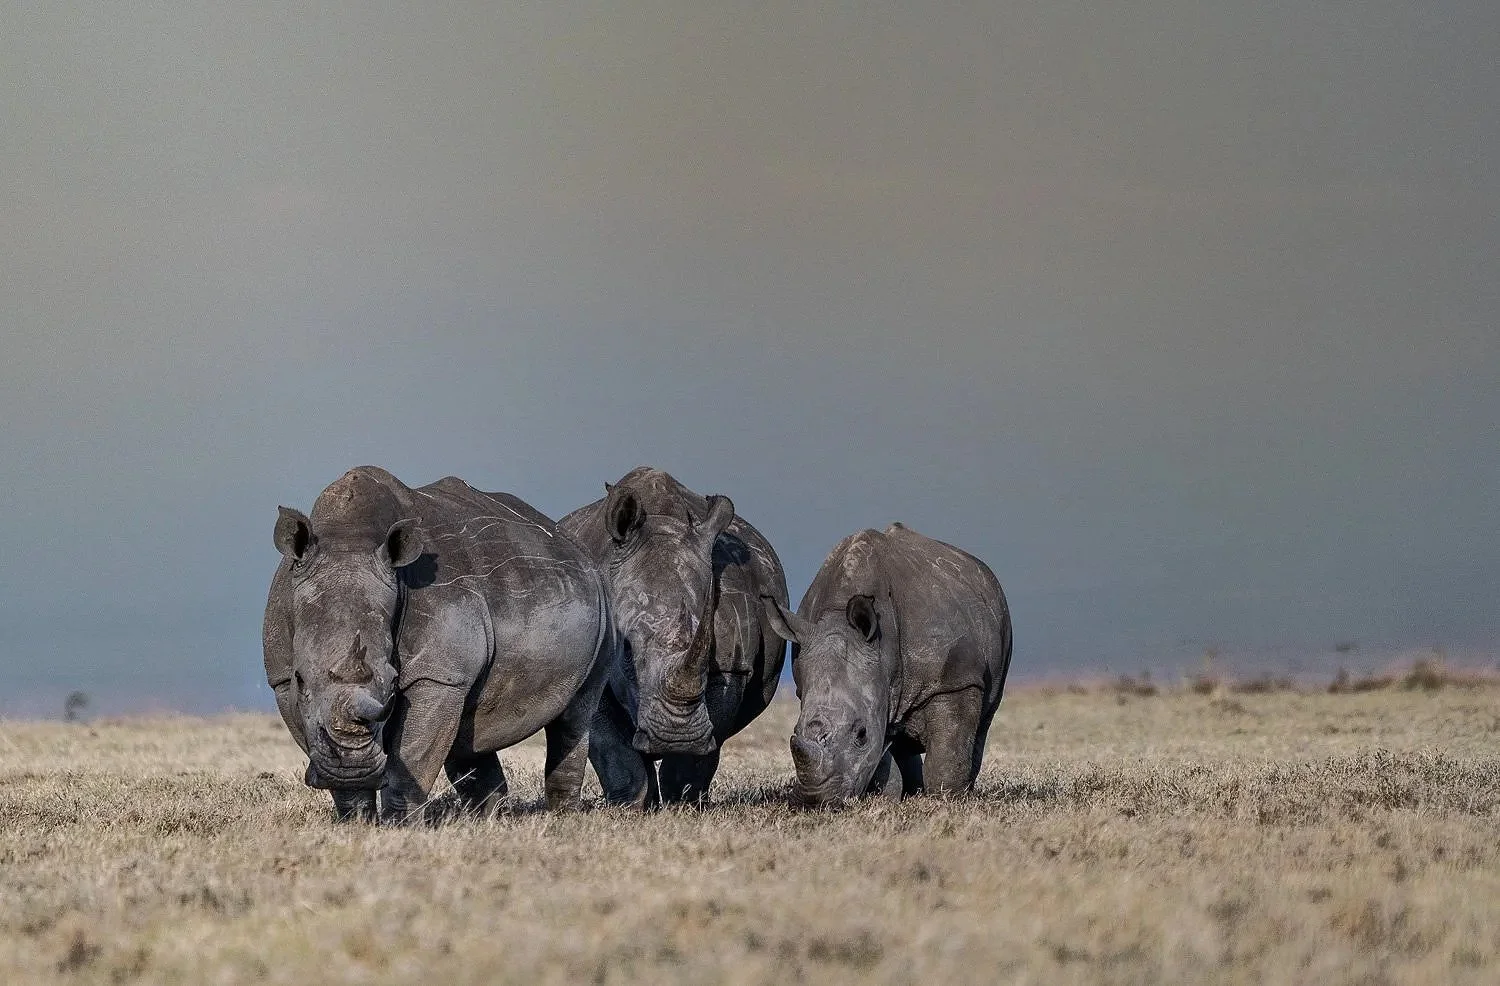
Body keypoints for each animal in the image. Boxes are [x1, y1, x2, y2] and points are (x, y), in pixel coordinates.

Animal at [262, 466, 612, 823]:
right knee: (469, 735)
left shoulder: (438, 674)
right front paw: (356, 820)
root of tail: (568, 538)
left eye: (392, 682)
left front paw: (398, 826)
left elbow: (412, 755)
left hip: (602, 601)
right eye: (301, 679)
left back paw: (563, 817)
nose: (353, 769)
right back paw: (488, 820)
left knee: (576, 714)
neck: (348, 536)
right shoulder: (281, 679)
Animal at [559, 467, 789, 805]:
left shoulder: (731, 667)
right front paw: (630, 806)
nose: (675, 737)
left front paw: (682, 802)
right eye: (626, 650)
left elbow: (698, 753)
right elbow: (614, 751)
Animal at [760, 522, 1012, 806]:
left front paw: (947, 799)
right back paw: (912, 791)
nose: (815, 799)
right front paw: (885, 797)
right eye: (794, 730)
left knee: (982, 722)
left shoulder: (953, 680)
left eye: (861, 734)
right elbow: (880, 755)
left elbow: (949, 749)